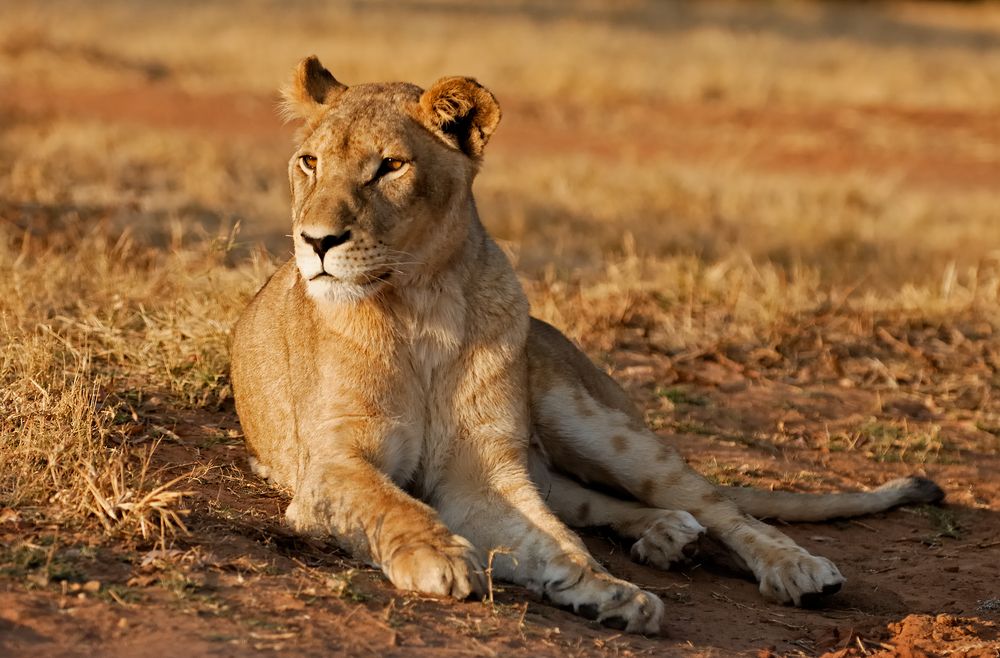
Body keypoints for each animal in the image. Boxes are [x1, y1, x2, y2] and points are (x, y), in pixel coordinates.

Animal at [230, 56, 945, 634]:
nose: (316, 242)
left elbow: (553, 538)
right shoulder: (331, 465)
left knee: (712, 505)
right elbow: (396, 503)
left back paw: (788, 567)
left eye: (390, 166)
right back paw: (668, 537)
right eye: (309, 161)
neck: (420, 304)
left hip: (593, 422)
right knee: (592, 503)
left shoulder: (484, 470)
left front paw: (604, 588)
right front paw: (443, 557)